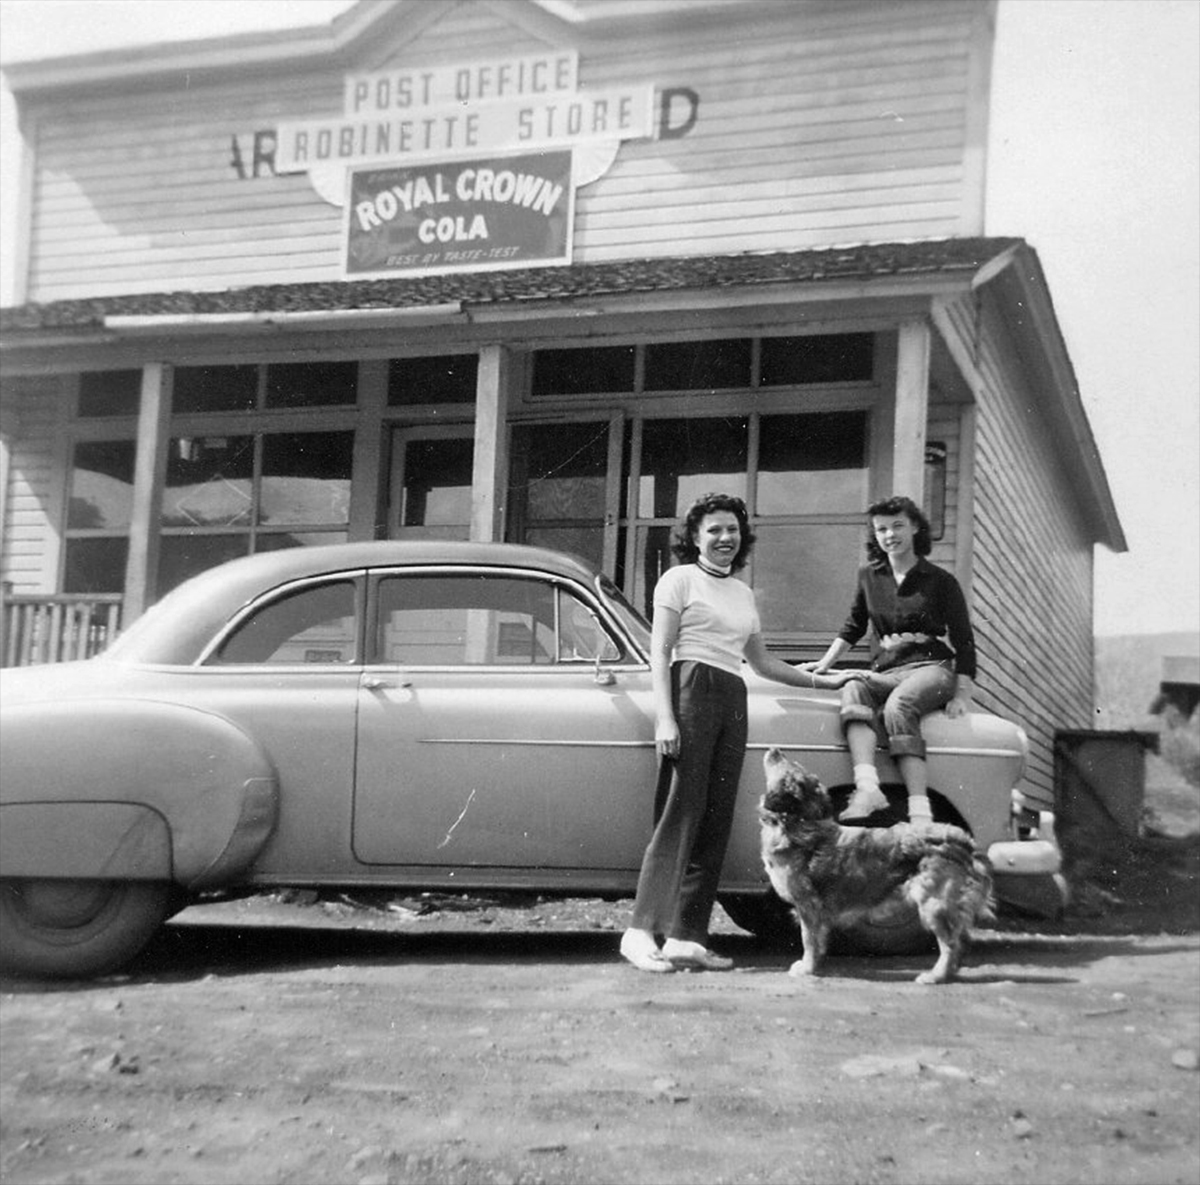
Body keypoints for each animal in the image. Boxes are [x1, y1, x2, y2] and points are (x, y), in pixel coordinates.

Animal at [758, 743, 993, 988]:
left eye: (787, 763)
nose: (775, 749)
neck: (798, 822)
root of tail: (959, 839)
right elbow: (818, 940)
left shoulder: (808, 904)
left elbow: (809, 940)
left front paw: (806, 968)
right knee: (961, 941)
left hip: (933, 903)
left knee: (951, 945)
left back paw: (934, 976)